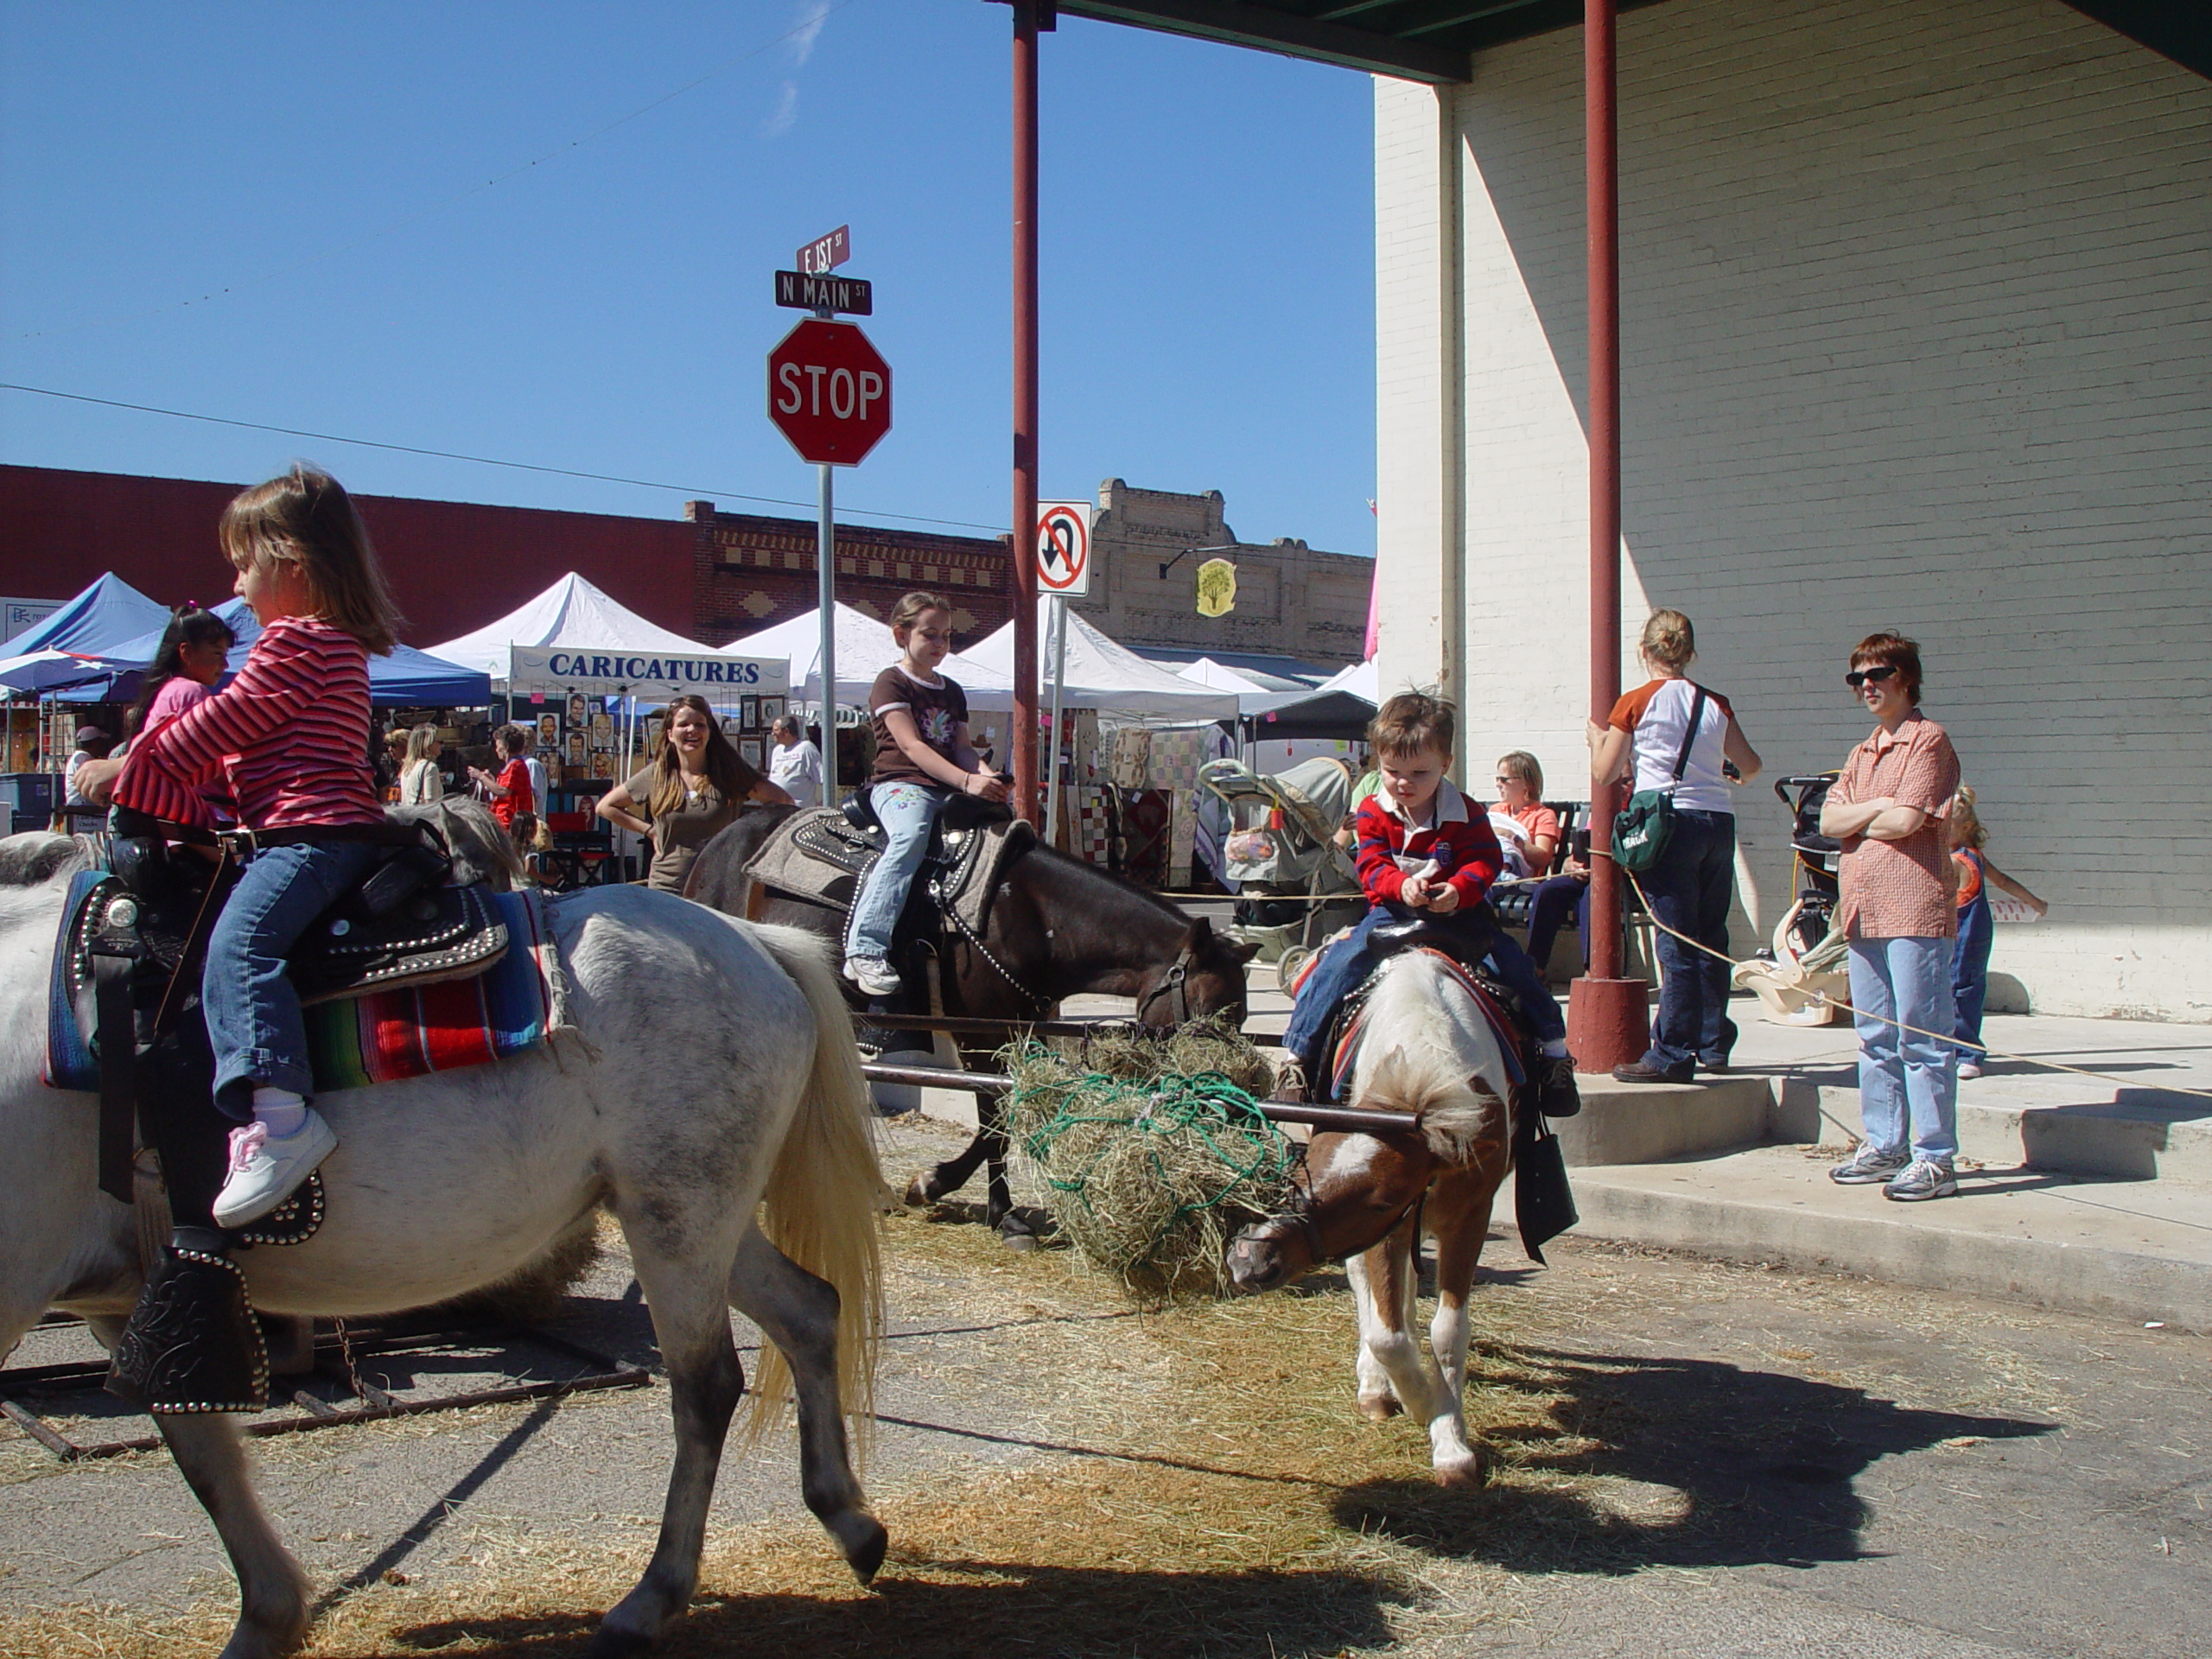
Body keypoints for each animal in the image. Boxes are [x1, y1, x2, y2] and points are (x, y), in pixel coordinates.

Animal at [0, 831, 880, 1659]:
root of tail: (752, 940)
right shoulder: (143, 1302)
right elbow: (204, 1455)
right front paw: (267, 1618)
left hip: (680, 1219)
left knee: (706, 1386)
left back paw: (650, 1601)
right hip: (698, 1219)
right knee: (807, 1311)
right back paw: (851, 1522)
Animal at [681, 804, 1256, 1238]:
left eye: (1242, 1012)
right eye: (1208, 1006)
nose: (1224, 1091)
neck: (1033, 915)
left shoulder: (1016, 1035)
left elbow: (1003, 1119)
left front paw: (987, 1206)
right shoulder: (980, 1035)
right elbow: (994, 1120)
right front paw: (952, 1193)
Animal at [1230, 946, 1522, 1495]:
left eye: (1381, 1200)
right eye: (1304, 1164)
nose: (1250, 1259)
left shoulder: (1465, 1217)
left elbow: (1447, 1331)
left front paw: (1450, 1441)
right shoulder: (1391, 1234)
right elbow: (1388, 1333)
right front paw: (1421, 1402)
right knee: (1370, 1293)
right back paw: (1376, 1386)